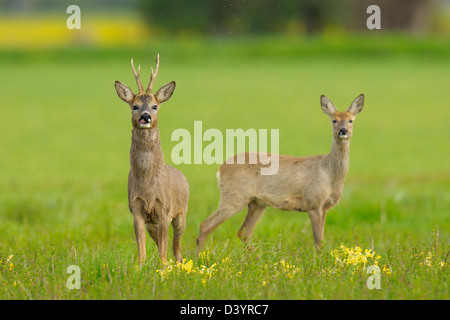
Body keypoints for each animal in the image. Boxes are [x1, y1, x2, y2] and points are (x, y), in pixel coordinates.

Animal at [115, 55, 189, 264]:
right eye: (135, 106)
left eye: (155, 106)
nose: (145, 116)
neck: (148, 185)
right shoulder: (137, 211)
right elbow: (142, 252)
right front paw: (140, 269)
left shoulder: (164, 210)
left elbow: (164, 252)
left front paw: (163, 270)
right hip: (152, 224)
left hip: (181, 213)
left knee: (176, 247)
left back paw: (178, 264)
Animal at [195, 94, 364, 251]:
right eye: (334, 120)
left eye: (351, 120)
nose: (343, 131)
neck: (329, 174)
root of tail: (220, 169)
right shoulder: (313, 203)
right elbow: (318, 242)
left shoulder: (324, 207)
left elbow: (321, 241)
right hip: (234, 196)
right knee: (205, 225)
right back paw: (201, 258)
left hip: (257, 203)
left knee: (244, 232)